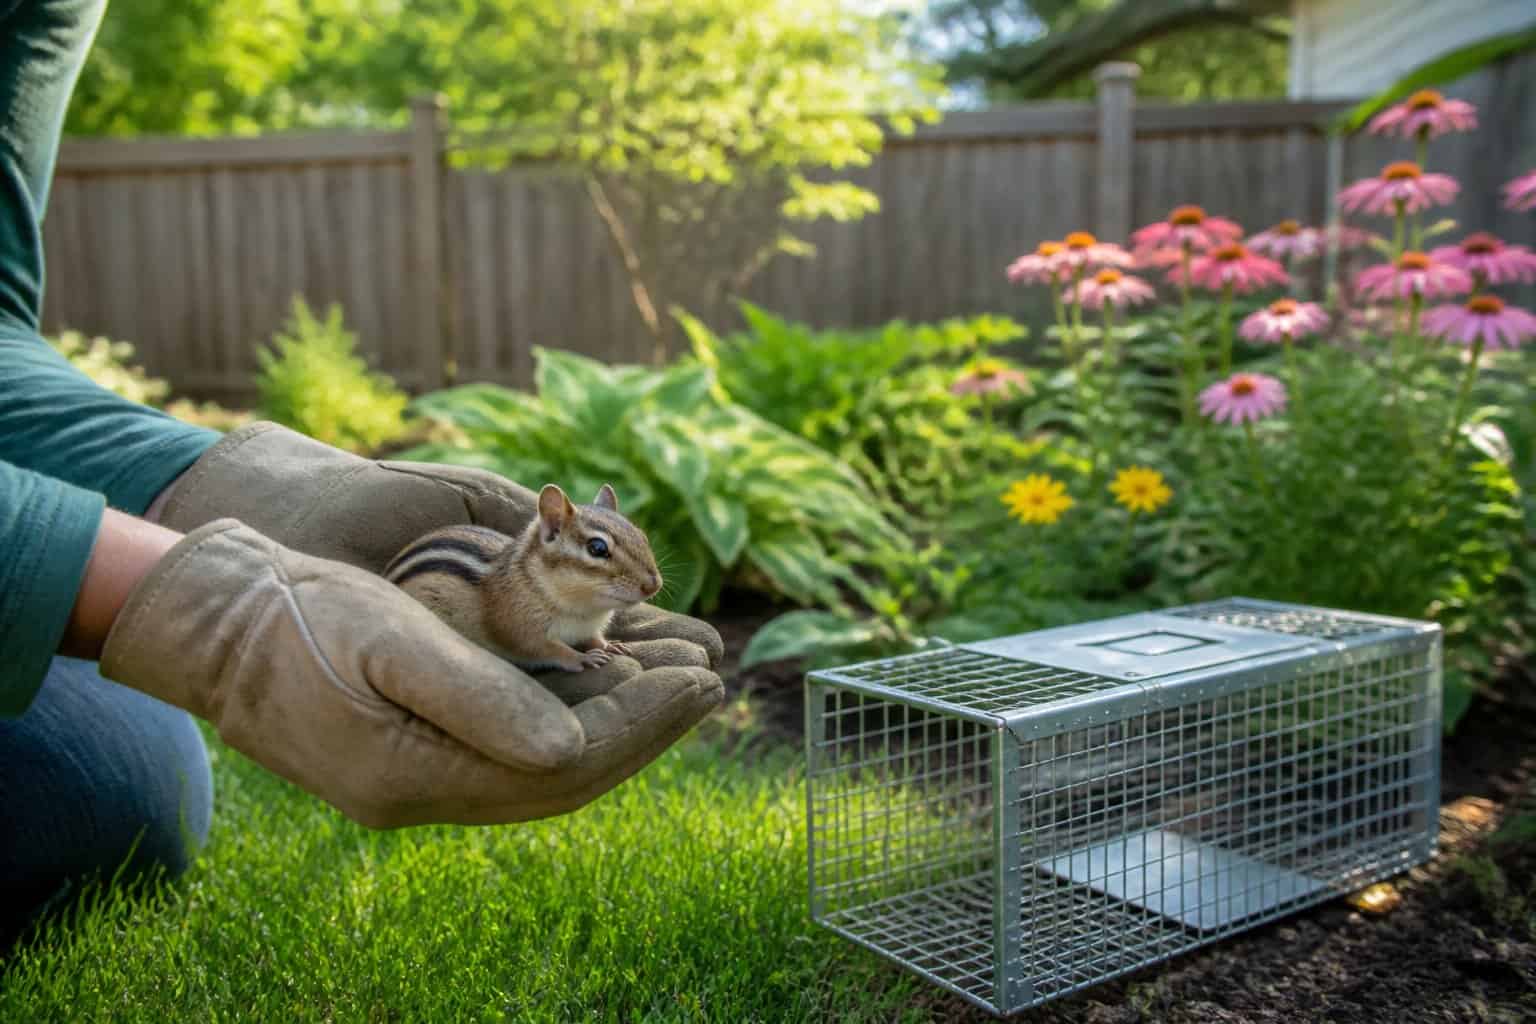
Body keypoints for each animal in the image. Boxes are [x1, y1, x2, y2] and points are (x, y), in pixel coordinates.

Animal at [384, 483, 662, 673]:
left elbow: (593, 638)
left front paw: (608, 645)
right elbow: (546, 649)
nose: (654, 585)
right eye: (597, 548)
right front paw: (582, 658)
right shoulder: (518, 628)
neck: (583, 609)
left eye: (642, 536)